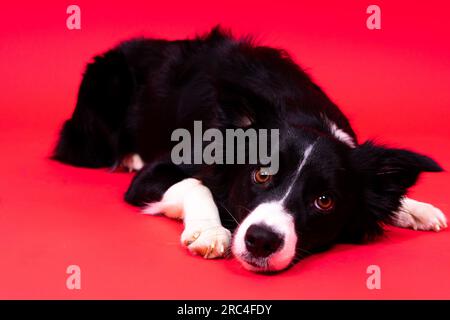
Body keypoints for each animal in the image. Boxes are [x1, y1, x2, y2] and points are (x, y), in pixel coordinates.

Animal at [53, 28, 446, 272]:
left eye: (324, 200)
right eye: (261, 173)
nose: (262, 240)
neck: (302, 116)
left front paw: (414, 208)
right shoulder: (159, 172)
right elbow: (195, 183)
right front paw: (210, 230)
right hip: (105, 88)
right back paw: (127, 158)